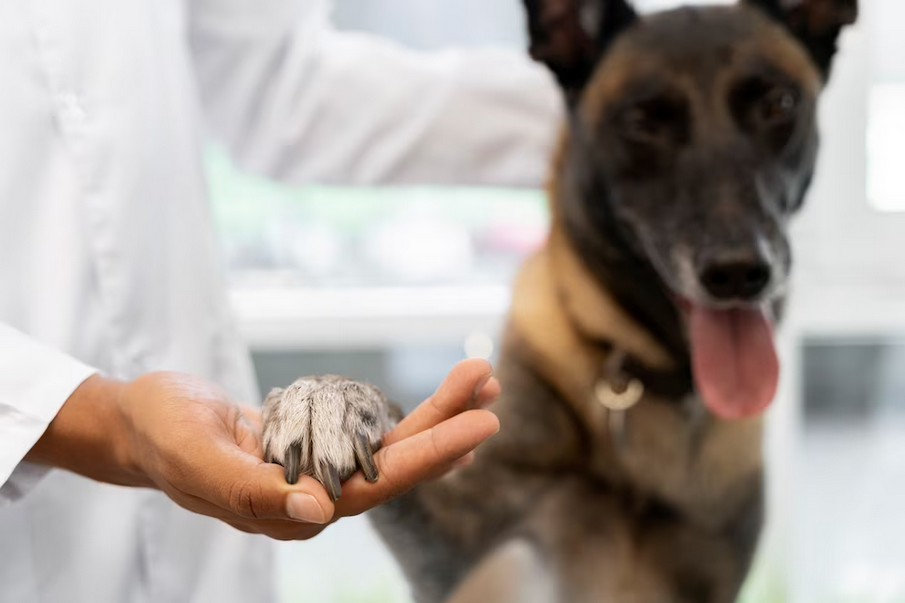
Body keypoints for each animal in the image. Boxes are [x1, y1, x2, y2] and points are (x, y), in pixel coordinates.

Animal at [260, 2, 856, 600]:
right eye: (642, 120)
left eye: (778, 105)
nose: (739, 273)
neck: (645, 376)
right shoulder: (458, 555)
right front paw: (327, 399)